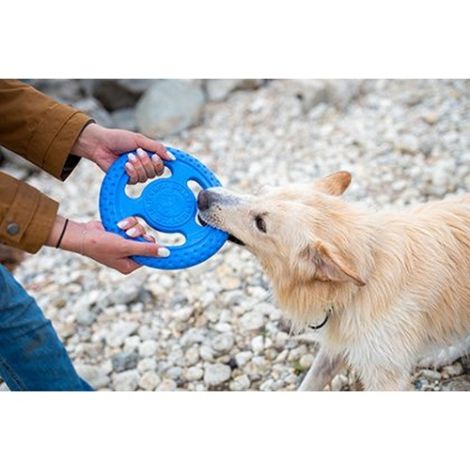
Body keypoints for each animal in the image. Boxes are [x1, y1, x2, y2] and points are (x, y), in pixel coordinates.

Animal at [196, 172, 470, 390]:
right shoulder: (337, 347)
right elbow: (308, 385)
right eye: (260, 191)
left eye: (261, 223)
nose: (202, 197)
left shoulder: (384, 374)